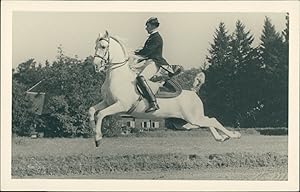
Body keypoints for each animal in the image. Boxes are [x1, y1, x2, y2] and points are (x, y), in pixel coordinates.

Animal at [88, 30, 240, 146]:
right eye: (95, 46)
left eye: (103, 46)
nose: (95, 65)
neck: (117, 76)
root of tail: (193, 92)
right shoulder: (107, 102)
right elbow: (92, 111)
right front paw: (93, 131)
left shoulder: (120, 105)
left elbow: (100, 114)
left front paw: (98, 138)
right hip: (185, 123)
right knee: (208, 122)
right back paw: (221, 137)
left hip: (193, 118)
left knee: (212, 120)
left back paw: (233, 135)